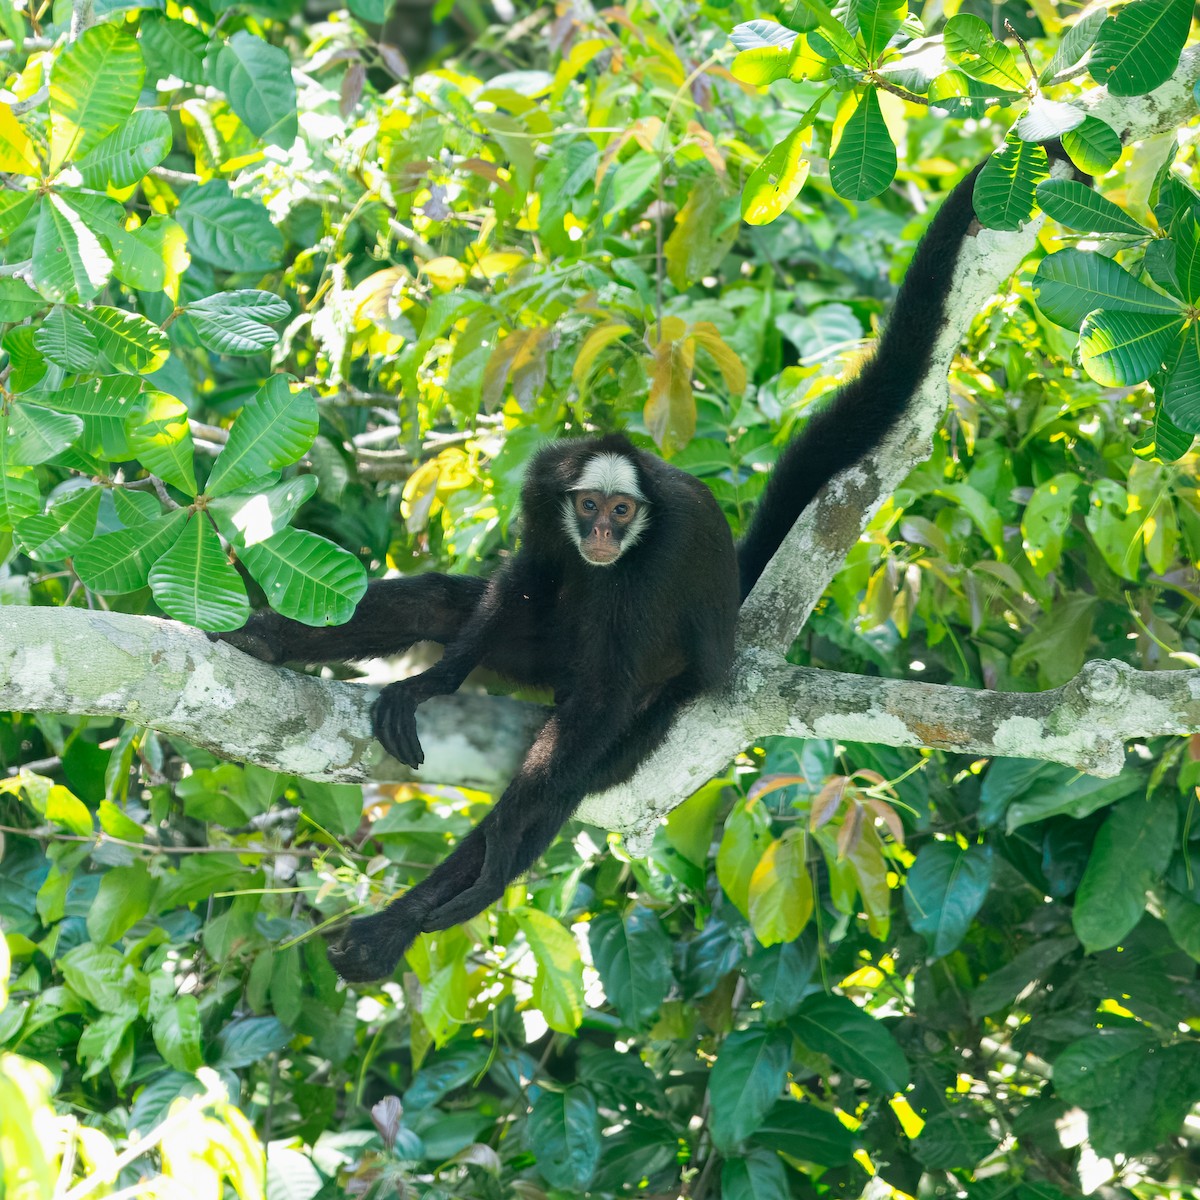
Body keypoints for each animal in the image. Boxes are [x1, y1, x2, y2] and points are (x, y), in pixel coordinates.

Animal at [219, 157, 987, 982]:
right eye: (587, 506)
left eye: (622, 513)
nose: (600, 537)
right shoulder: (543, 486)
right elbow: (522, 571)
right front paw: (431, 682)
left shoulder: (659, 556)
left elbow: (599, 705)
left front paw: (494, 856)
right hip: (540, 647)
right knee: (441, 606)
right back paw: (269, 641)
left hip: (670, 688)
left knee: (585, 749)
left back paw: (409, 919)